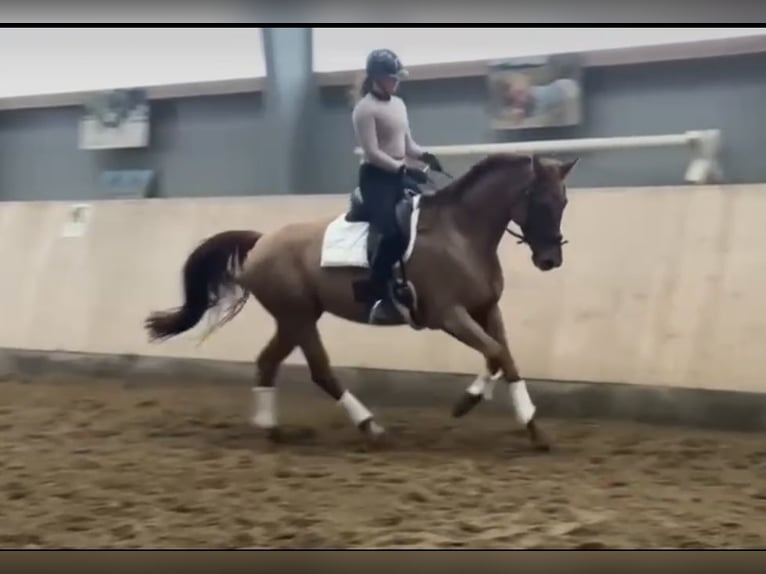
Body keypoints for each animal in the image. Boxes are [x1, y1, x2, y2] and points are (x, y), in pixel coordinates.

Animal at [142, 153, 576, 454]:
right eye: (539, 200)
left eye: (564, 202)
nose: (550, 260)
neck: (461, 233)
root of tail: (262, 241)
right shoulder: (448, 316)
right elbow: (495, 353)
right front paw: (466, 403)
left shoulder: (486, 309)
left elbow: (504, 357)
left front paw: (533, 429)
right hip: (299, 317)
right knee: (321, 371)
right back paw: (371, 428)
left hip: (294, 318)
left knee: (267, 363)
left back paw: (271, 429)